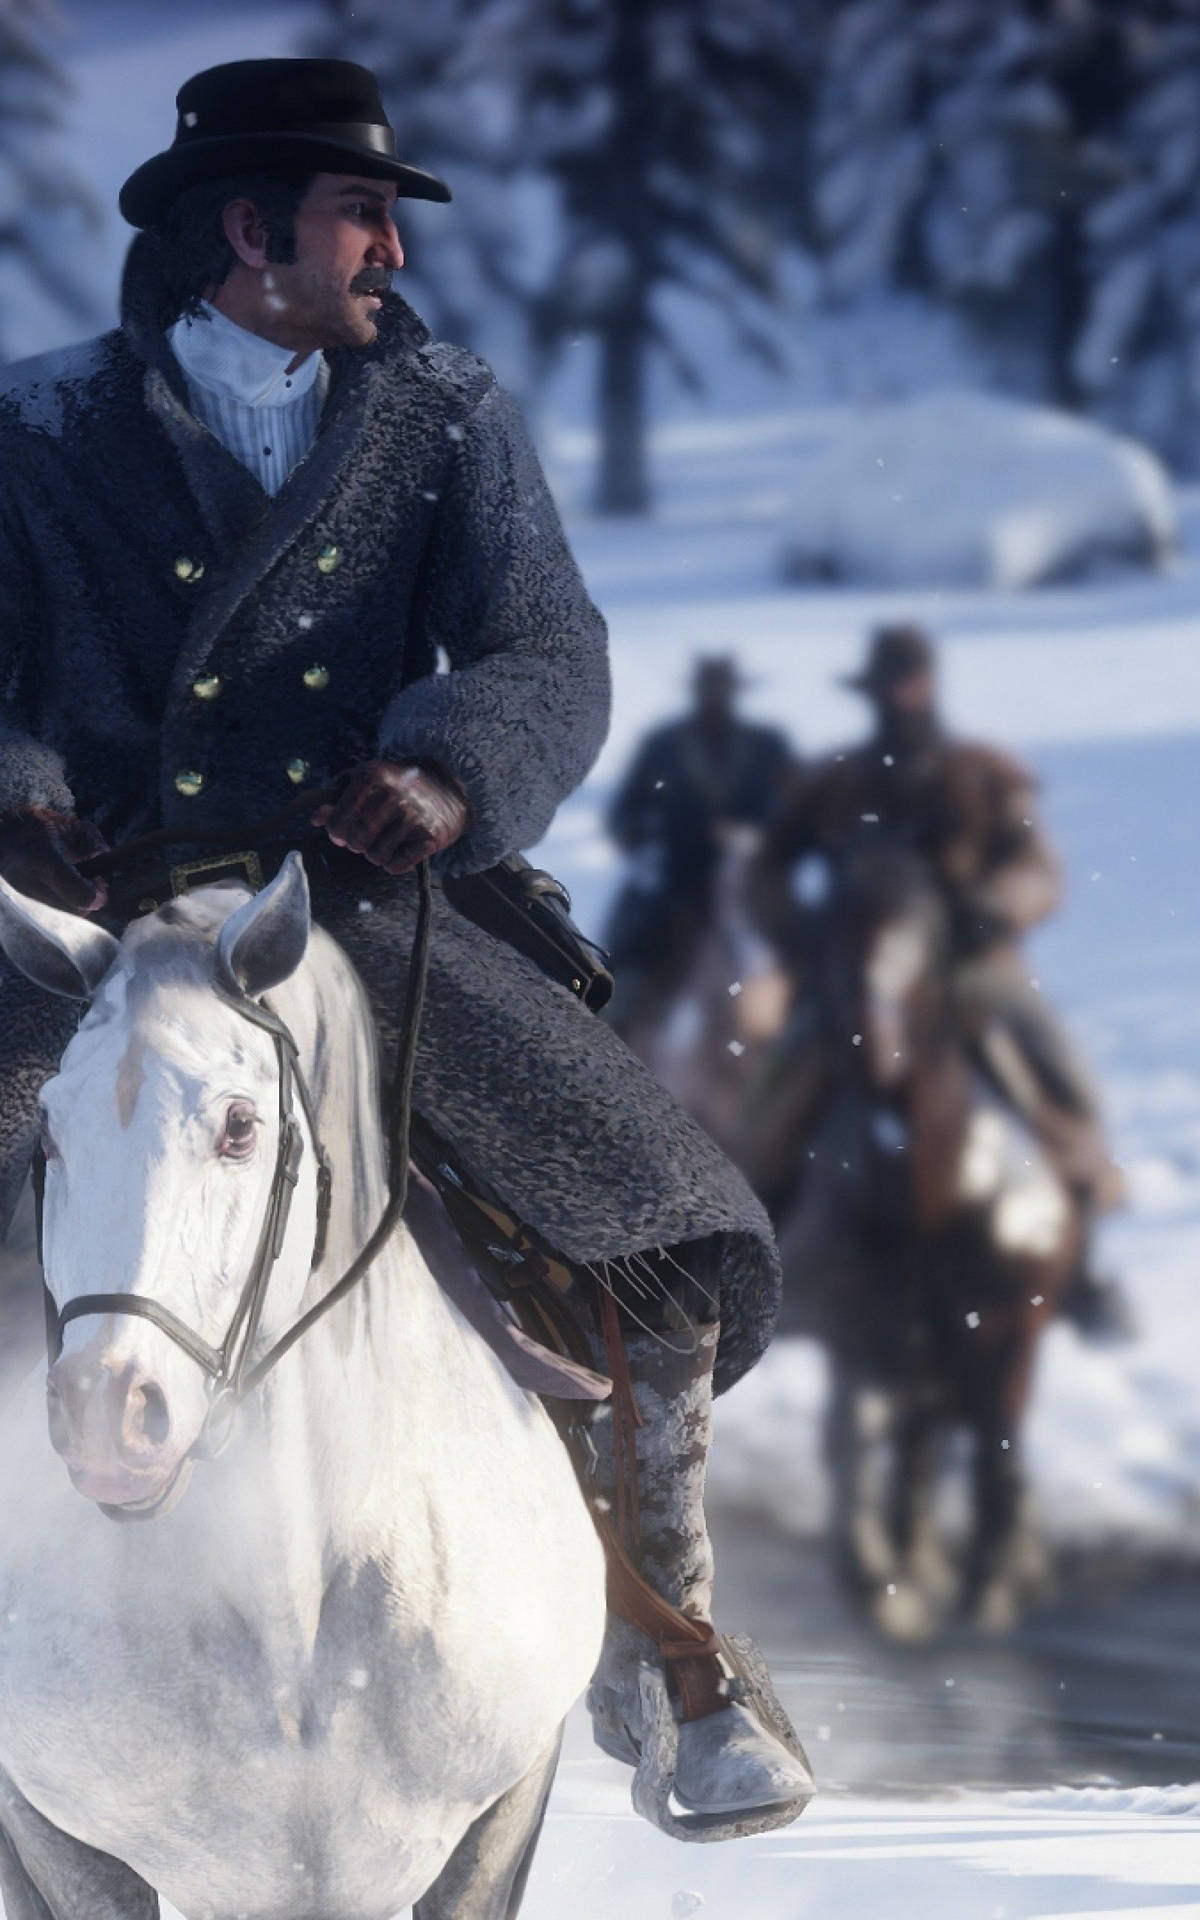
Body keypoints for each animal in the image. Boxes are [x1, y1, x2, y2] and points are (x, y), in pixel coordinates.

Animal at [0, 864, 602, 1920]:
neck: (292, 1620)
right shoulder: (55, 1834)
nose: (108, 1417)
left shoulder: (507, 1804)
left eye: (240, 1125)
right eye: (49, 1128)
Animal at [768, 848, 1082, 1643]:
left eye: (932, 937)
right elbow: (856, 1441)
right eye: (830, 937)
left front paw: (989, 1586)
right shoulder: (860, 1334)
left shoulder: (1008, 1328)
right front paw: (889, 1582)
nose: (867, 1048)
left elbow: (996, 1452)